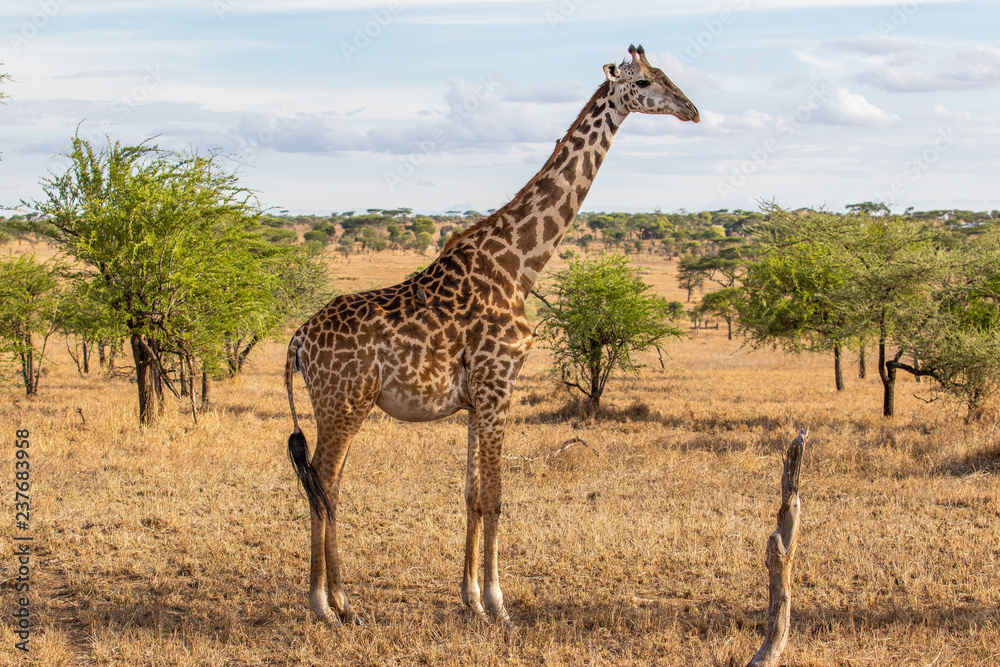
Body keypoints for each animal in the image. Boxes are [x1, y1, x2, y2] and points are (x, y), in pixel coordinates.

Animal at [285, 44, 699, 626]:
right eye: (643, 81)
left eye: (666, 75)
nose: (692, 110)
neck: (520, 265)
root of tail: (298, 340)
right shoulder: (500, 382)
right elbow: (497, 495)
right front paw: (500, 605)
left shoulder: (477, 396)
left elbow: (471, 493)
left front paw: (471, 598)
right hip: (345, 402)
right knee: (323, 485)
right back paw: (328, 606)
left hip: (335, 407)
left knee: (329, 486)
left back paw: (339, 602)